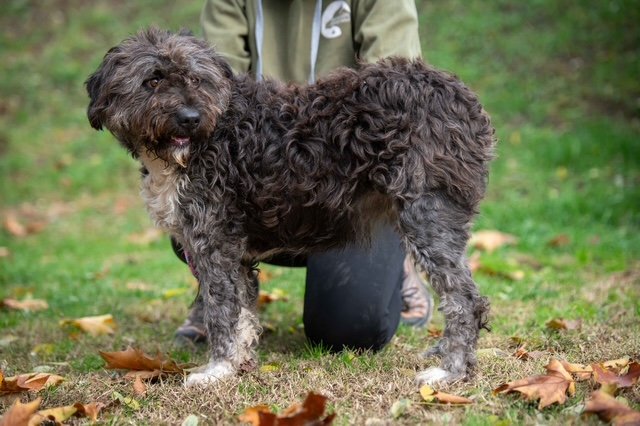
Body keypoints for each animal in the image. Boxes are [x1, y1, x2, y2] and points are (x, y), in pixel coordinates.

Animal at [86, 28, 495, 387]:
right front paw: (239, 363)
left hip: (428, 216)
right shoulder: (233, 251)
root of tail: (461, 98)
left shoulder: (213, 240)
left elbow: (222, 311)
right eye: (153, 80)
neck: (216, 131)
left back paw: (451, 371)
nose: (190, 118)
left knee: (465, 300)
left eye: (197, 79)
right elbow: (242, 312)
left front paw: (217, 370)